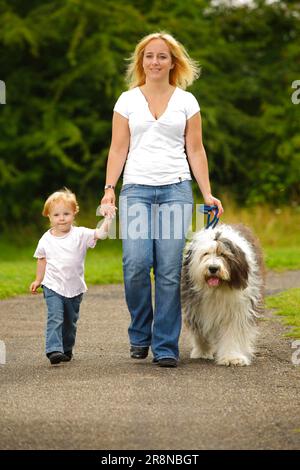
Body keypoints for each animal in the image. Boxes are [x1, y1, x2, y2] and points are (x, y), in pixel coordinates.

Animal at [182, 225, 264, 368]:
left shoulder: (238, 310)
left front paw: (232, 358)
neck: (217, 289)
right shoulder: (195, 308)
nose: (213, 268)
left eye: (223, 255)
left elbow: (233, 332)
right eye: (205, 254)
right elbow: (200, 332)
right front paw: (203, 351)